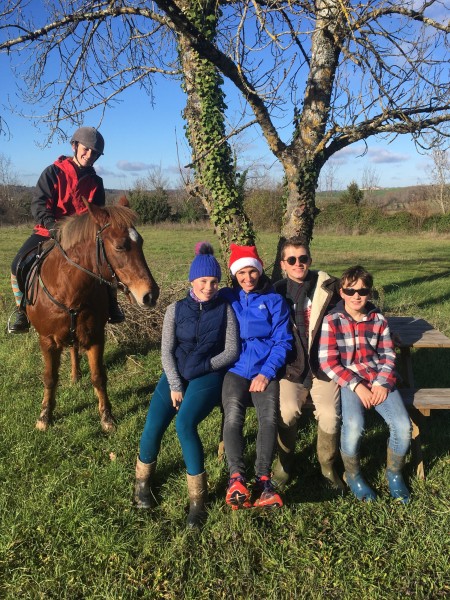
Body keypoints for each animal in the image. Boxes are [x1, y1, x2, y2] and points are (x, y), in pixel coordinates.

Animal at [25, 199, 160, 434]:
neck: (68, 288)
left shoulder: (96, 336)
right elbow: (50, 378)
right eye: (120, 246)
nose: (150, 295)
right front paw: (44, 416)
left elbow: (98, 377)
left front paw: (107, 417)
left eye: (141, 242)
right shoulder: (47, 340)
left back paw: (76, 374)